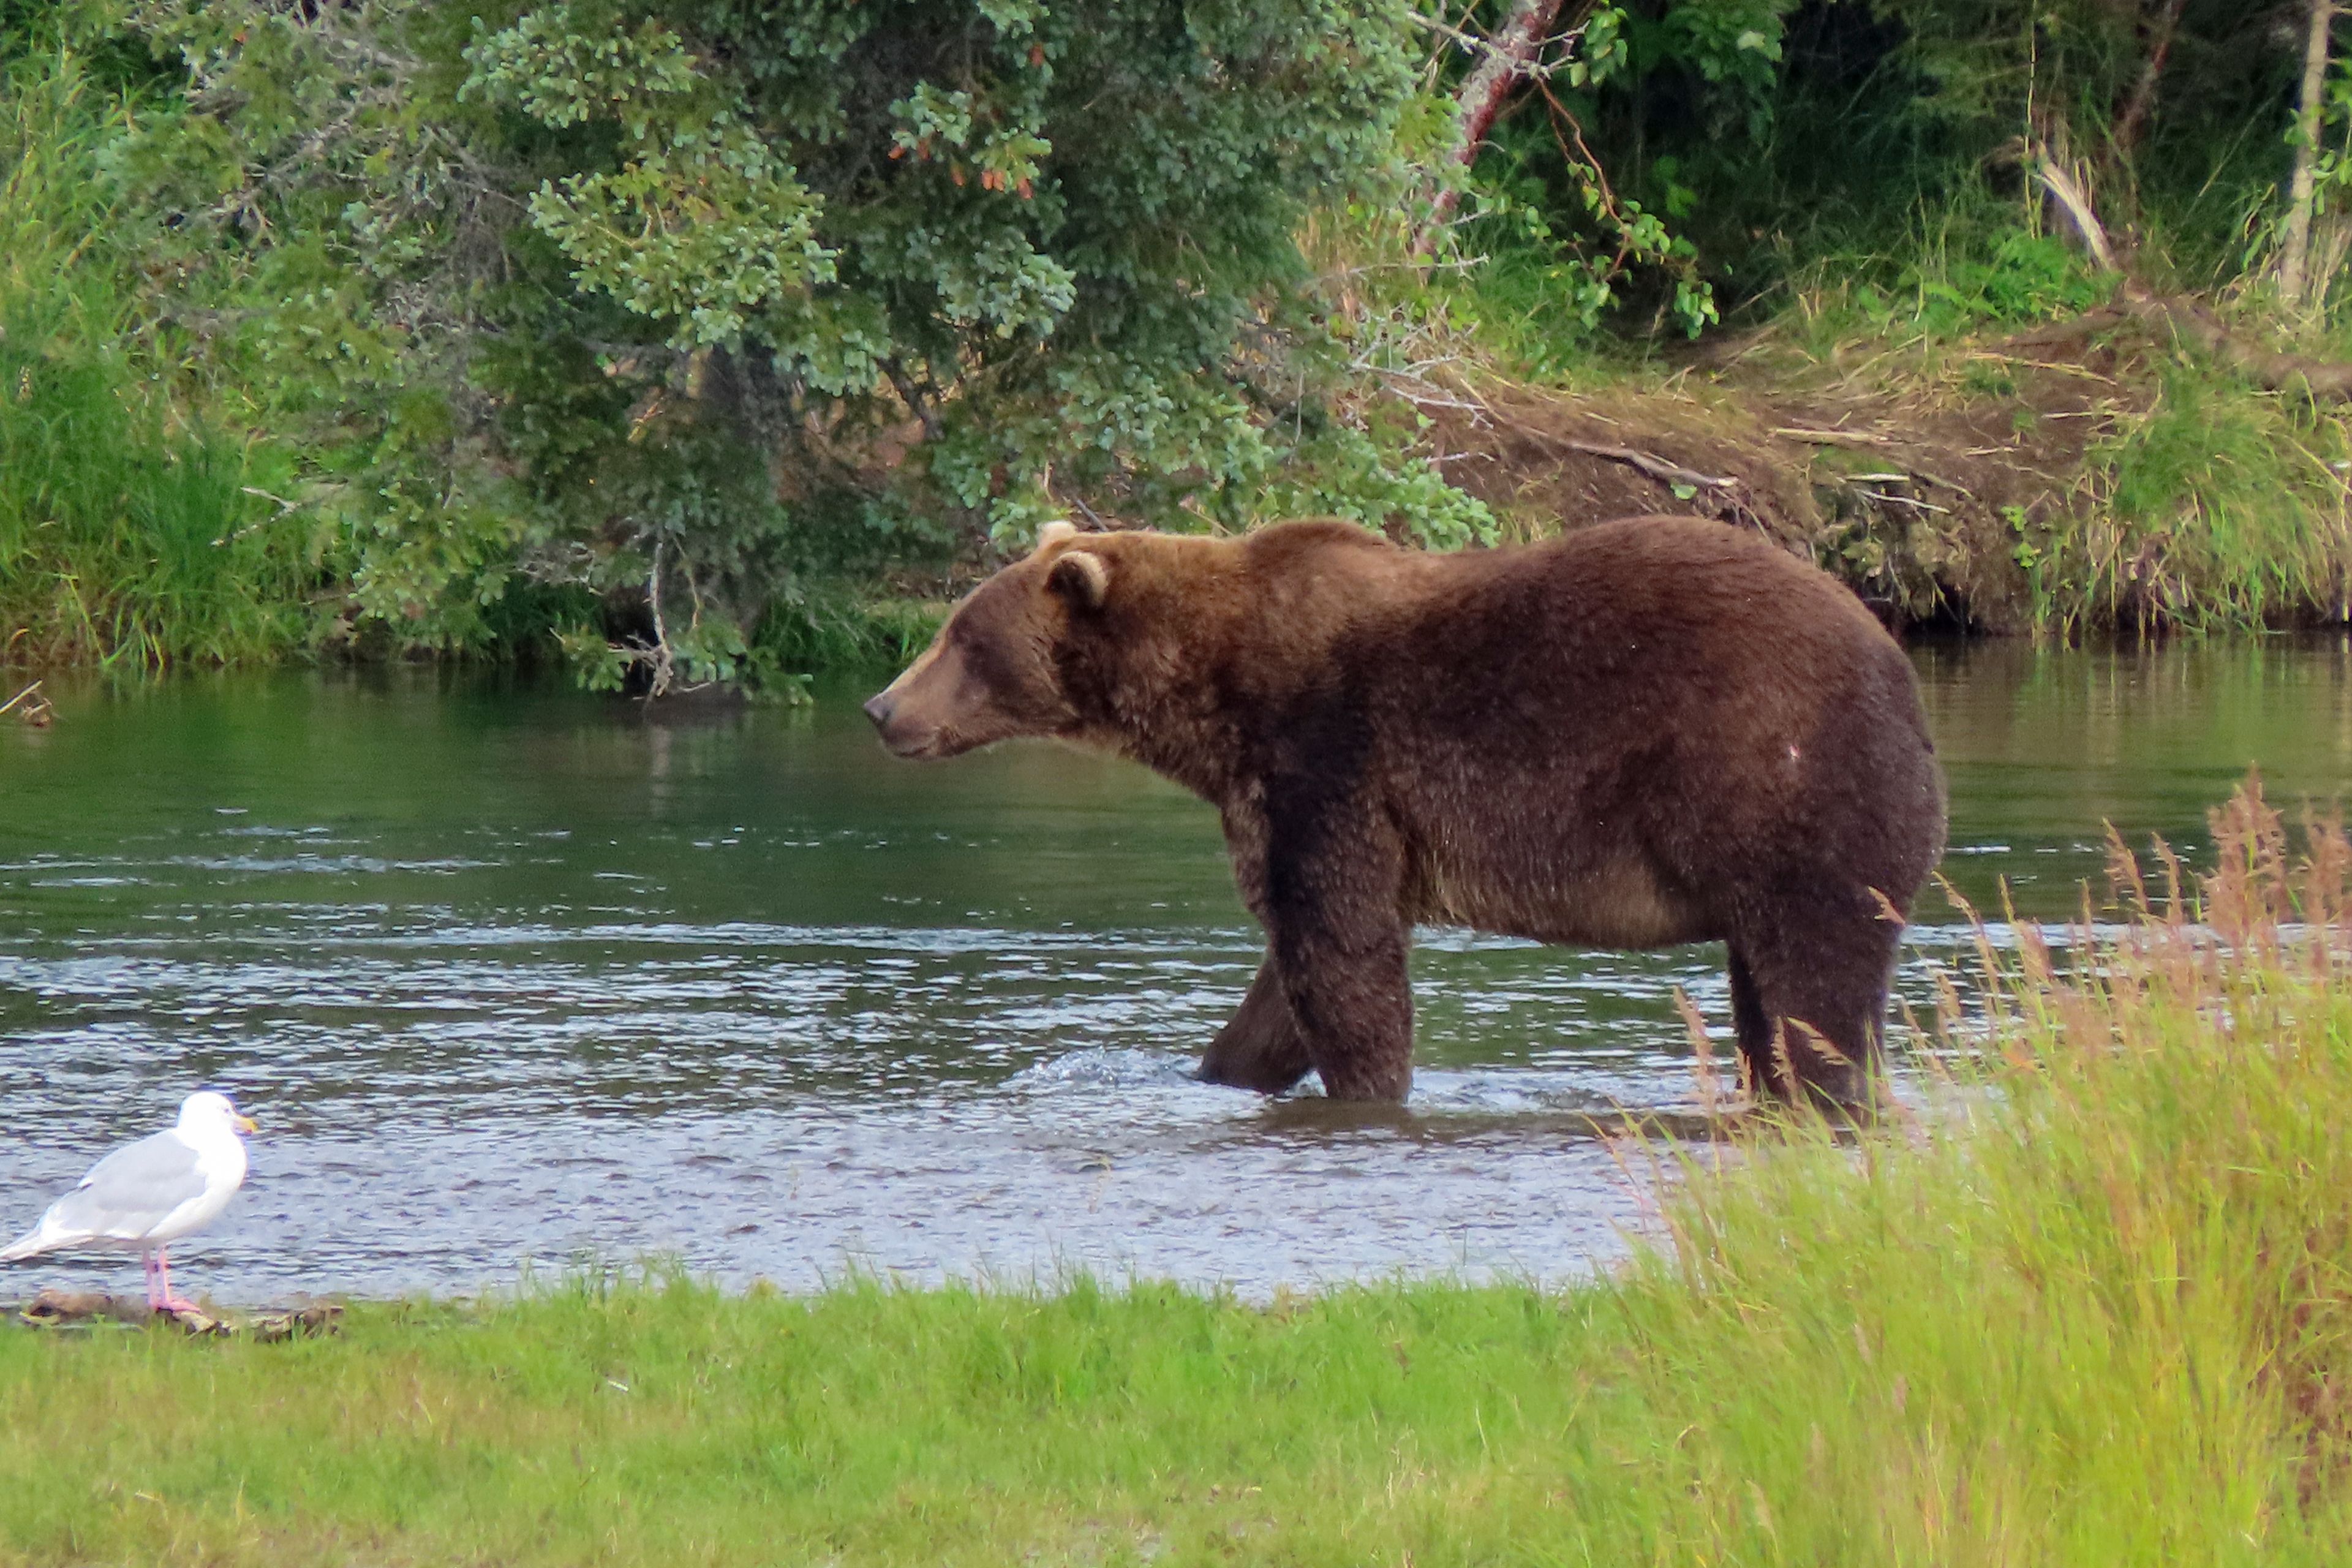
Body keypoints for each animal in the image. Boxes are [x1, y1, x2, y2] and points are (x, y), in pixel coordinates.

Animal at [865, 514, 1947, 1104]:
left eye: (964, 640)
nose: (881, 708)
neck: (1213, 697)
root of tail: (1902, 672)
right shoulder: (1284, 796)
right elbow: (1284, 982)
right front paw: (1214, 1070)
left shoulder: (1328, 759)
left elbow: (1340, 955)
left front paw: (1369, 1090)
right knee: (1767, 990)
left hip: (1790, 785)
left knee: (1816, 983)